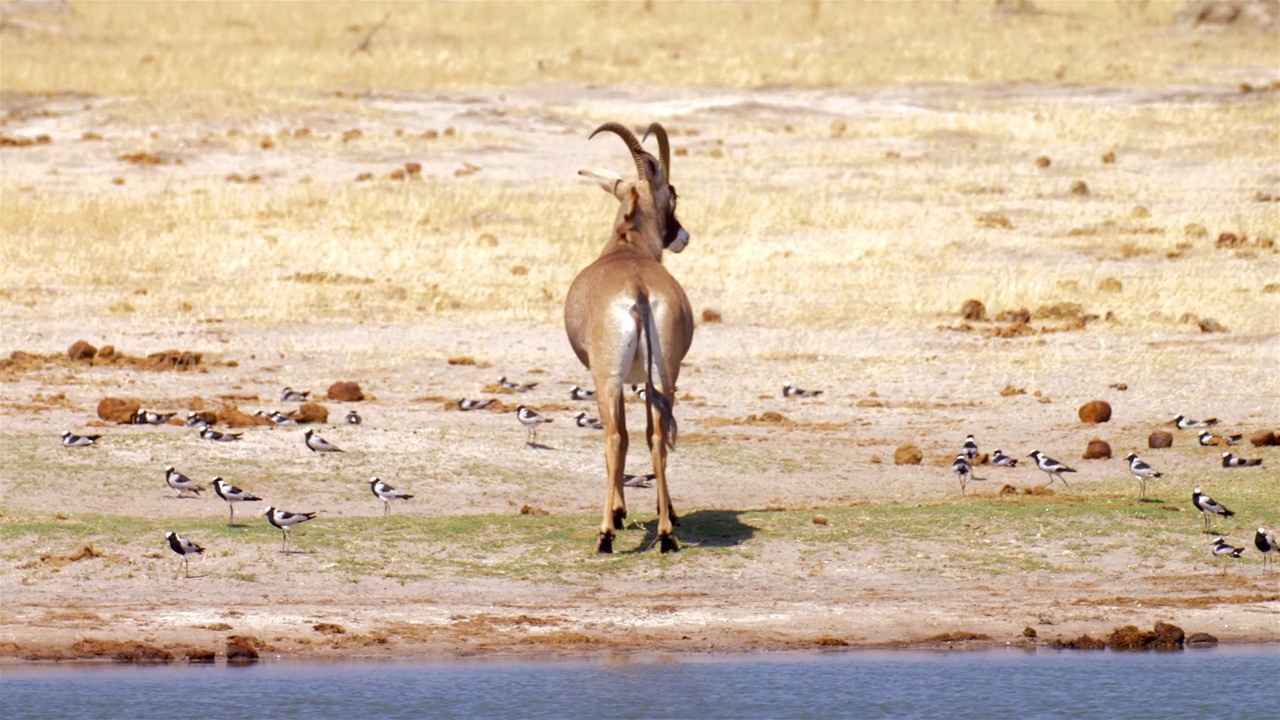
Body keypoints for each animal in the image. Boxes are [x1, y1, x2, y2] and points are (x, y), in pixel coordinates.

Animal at [568, 120, 696, 550]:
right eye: (673, 192)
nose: (682, 236)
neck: (627, 249)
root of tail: (637, 288)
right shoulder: (644, 380)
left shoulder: (620, 380)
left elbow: (622, 436)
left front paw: (621, 514)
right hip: (665, 376)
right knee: (658, 436)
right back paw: (666, 533)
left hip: (606, 379)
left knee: (614, 438)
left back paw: (606, 534)